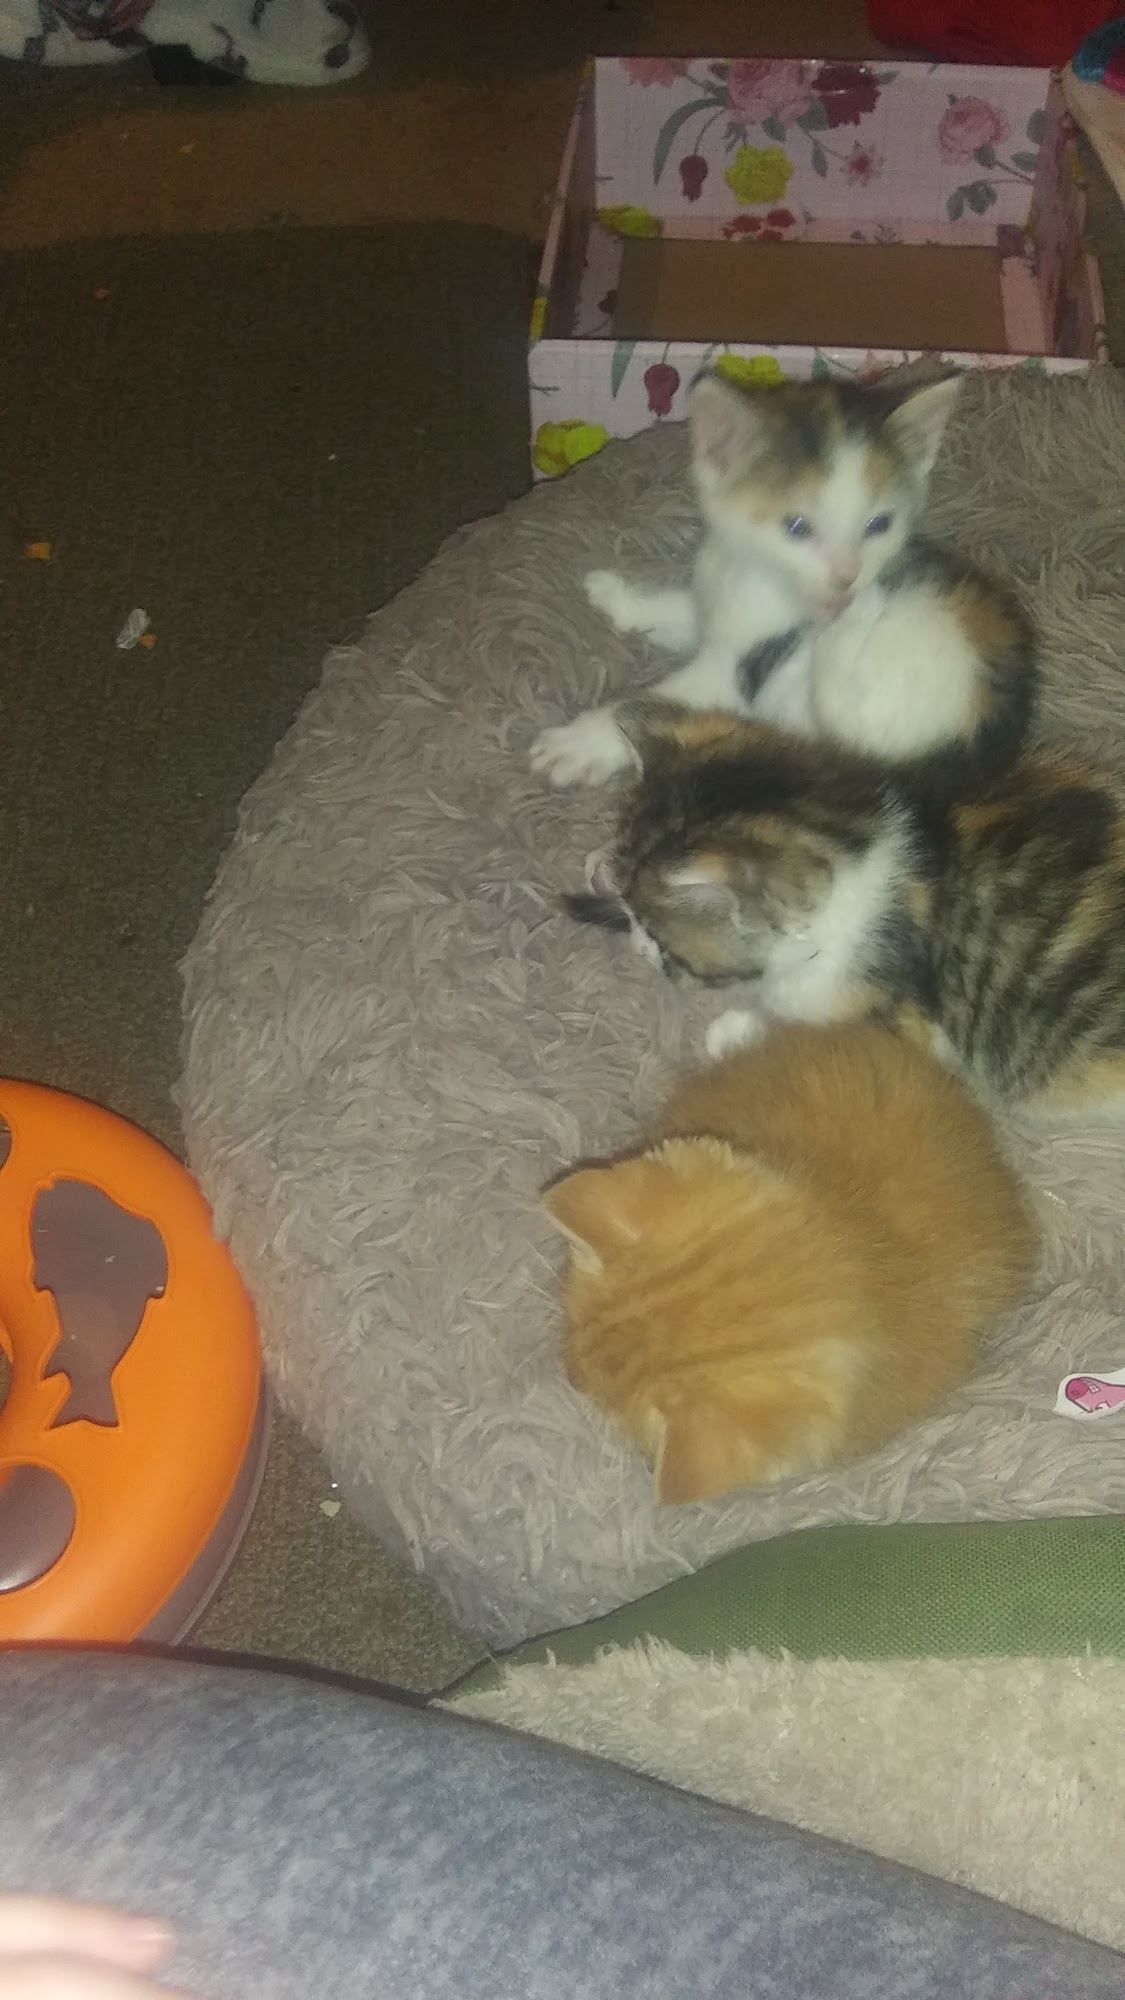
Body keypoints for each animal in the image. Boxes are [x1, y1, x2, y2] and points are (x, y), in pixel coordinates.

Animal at [530, 371, 1035, 798]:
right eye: (797, 527)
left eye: (879, 525)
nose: (848, 579)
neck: (758, 578)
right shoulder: (722, 603)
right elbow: (685, 609)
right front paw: (619, 597)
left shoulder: (742, 669)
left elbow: (654, 701)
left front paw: (580, 742)